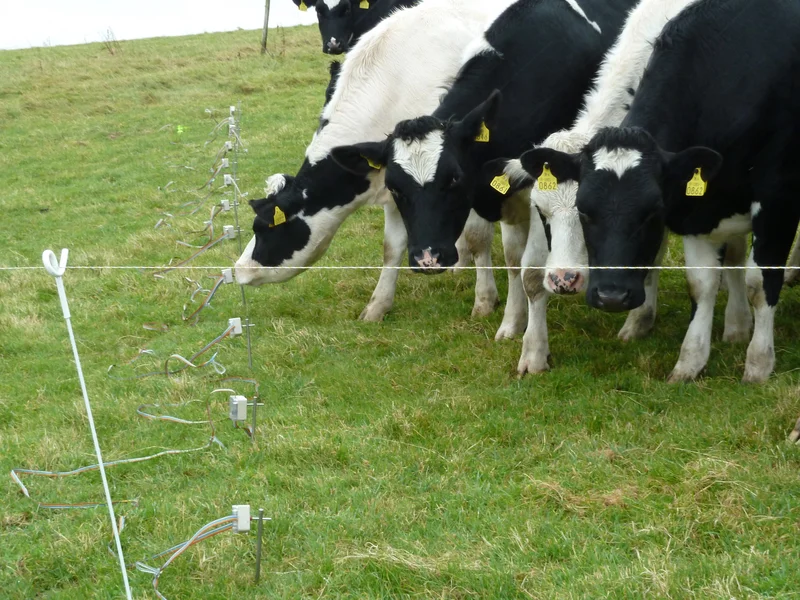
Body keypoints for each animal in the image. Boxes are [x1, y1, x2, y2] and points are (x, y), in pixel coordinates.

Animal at [236, 0, 518, 323]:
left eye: (263, 228)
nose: (238, 270)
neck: (393, 85)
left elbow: (477, 236)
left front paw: (485, 300)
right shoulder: (397, 187)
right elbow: (391, 248)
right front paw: (377, 307)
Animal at [517, 0, 800, 383]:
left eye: (650, 211)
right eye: (585, 210)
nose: (609, 296)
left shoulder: (777, 200)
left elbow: (759, 283)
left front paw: (758, 363)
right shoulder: (697, 210)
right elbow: (701, 282)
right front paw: (689, 359)